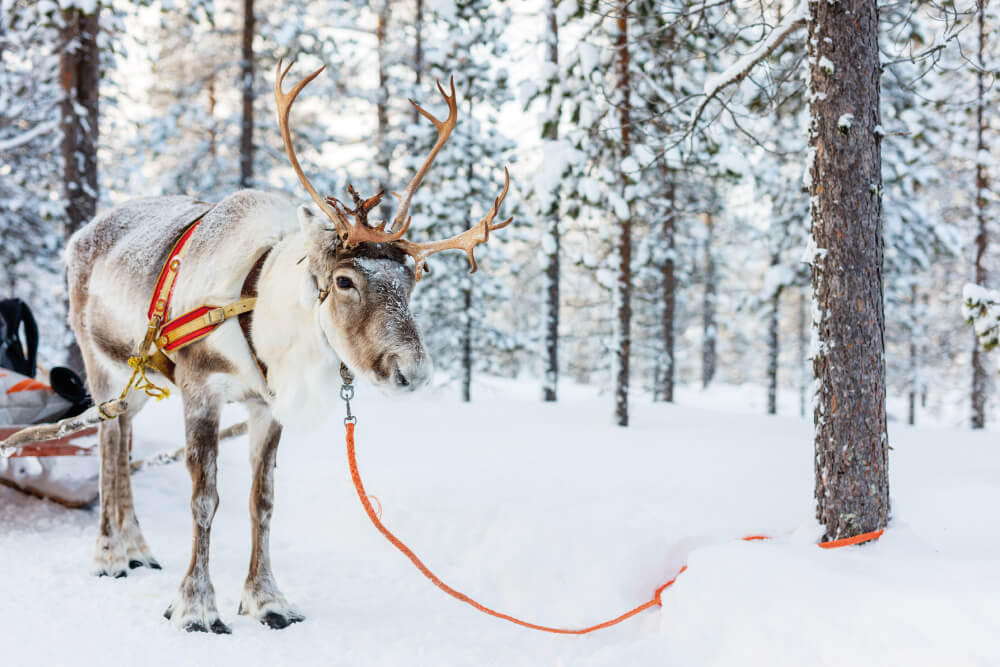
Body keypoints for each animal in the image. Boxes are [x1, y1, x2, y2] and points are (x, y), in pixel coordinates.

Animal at [62, 60, 511, 634]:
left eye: (411, 278)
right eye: (344, 280)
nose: (413, 372)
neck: (258, 315)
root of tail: (80, 235)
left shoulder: (265, 406)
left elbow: (264, 501)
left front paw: (267, 600)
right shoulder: (200, 388)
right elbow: (204, 499)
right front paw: (196, 607)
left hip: (139, 380)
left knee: (124, 438)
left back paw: (138, 547)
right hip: (99, 364)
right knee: (106, 442)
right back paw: (110, 556)